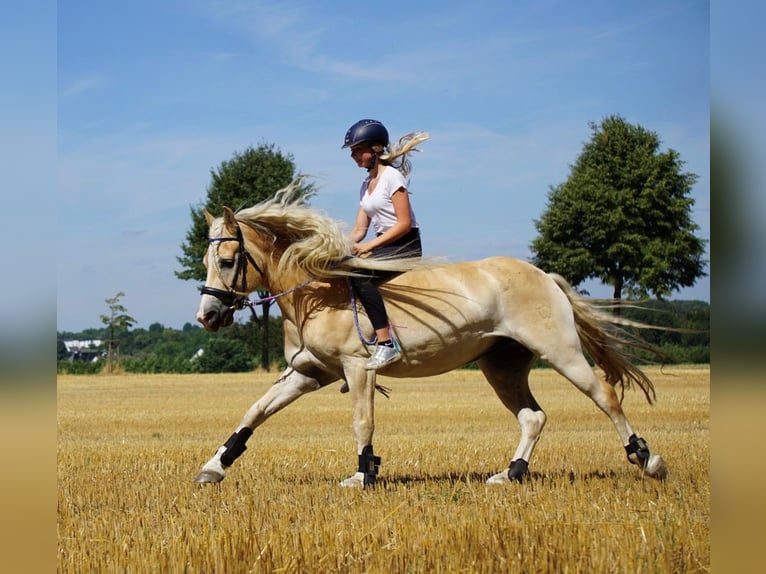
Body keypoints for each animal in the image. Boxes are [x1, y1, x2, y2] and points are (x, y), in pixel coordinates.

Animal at [195, 178, 668, 488]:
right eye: (204, 260)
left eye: (227, 260)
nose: (207, 316)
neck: (316, 292)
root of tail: (544, 276)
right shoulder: (310, 372)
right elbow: (255, 411)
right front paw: (214, 467)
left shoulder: (357, 368)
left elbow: (363, 422)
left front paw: (363, 474)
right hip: (502, 366)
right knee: (533, 417)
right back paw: (510, 474)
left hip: (560, 351)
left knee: (605, 395)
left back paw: (647, 460)